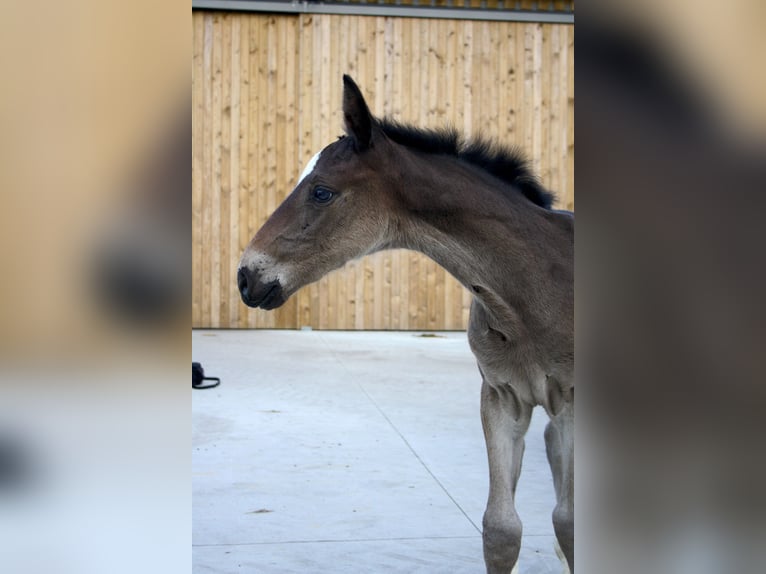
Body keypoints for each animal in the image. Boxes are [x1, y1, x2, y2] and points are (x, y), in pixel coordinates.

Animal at [237, 76, 572, 574]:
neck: (533, 292)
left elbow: (567, 522)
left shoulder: (571, 401)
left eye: (322, 192)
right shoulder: (502, 396)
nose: (245, 277)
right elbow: (501, 530)